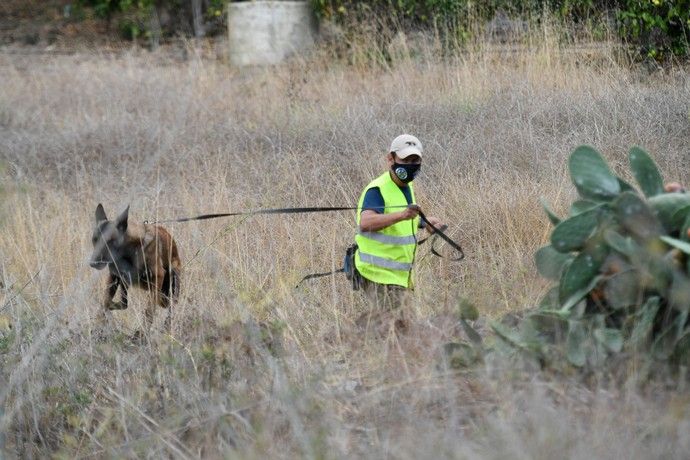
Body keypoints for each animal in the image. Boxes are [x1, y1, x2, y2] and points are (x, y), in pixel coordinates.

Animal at [88, 204, 180, 334]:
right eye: (94, 240)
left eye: (109, 241)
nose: (93, 263)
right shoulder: (114, 277)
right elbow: (106, 302)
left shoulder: (157, 277)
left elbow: (149, 311)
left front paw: (142, 333)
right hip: (124, 282)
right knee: (124, 302)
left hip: (172, 283)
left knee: (170, 309)